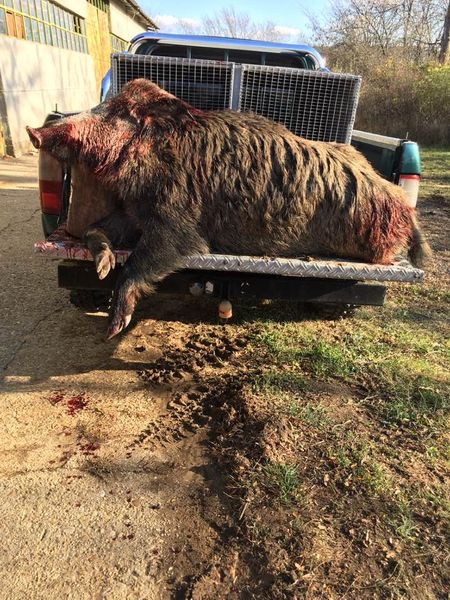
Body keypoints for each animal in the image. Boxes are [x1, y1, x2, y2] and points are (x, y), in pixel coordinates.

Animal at [26, 78, 431, 338]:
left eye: (117, 112)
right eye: (104, 105)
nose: (34, 131)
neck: (157, 153)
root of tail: (405, 208)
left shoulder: (179, 223)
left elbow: (146, 260)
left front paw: (113, 330)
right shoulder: (134, 212)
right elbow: (96, 230)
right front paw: (102, 266)